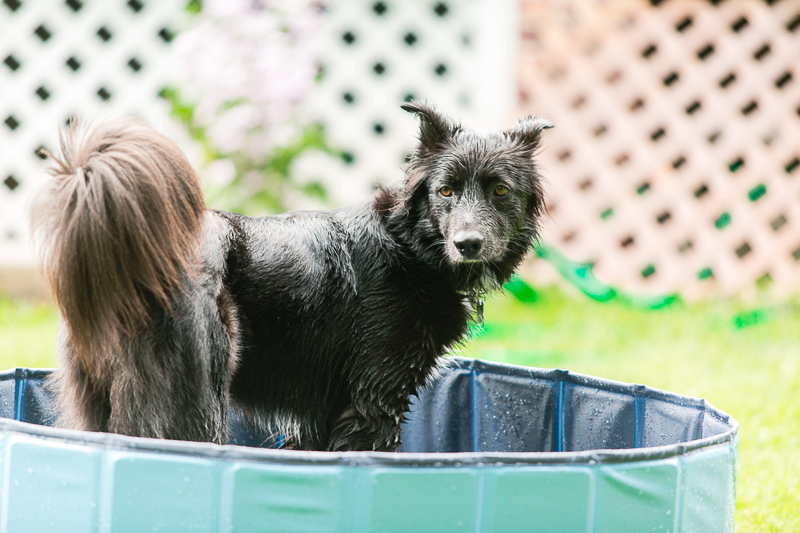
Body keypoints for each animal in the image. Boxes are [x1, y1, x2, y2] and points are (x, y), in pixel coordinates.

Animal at [32, 103, 556, 448]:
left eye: (500, 190)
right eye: (446, 191)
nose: (468, 244)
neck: (409, 247)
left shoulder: (322, 414)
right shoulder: (372, 398)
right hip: (198, 398)